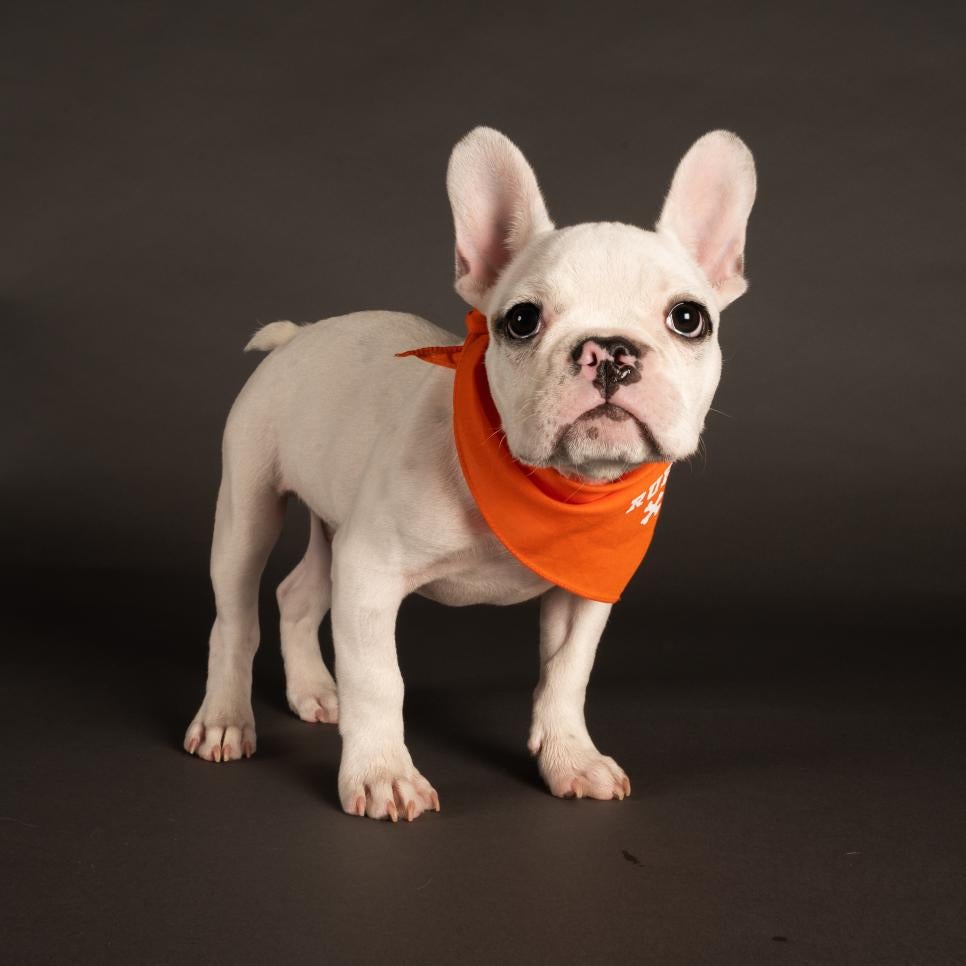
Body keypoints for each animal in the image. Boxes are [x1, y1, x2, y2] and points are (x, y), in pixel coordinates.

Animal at [182, 126, 756, 824]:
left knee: (297, 594)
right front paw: (382, 775)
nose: (611, 350)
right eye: (522, 320)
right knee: (235, 616)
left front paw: (570, 758)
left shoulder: (586, 589)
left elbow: (567, 672)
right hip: (249, 507)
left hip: (334, 525)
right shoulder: (370, 571)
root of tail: (297, 336)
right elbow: (379, 679)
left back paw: (316, 691)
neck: (553, 486)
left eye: (688, 318)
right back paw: (226, 719)